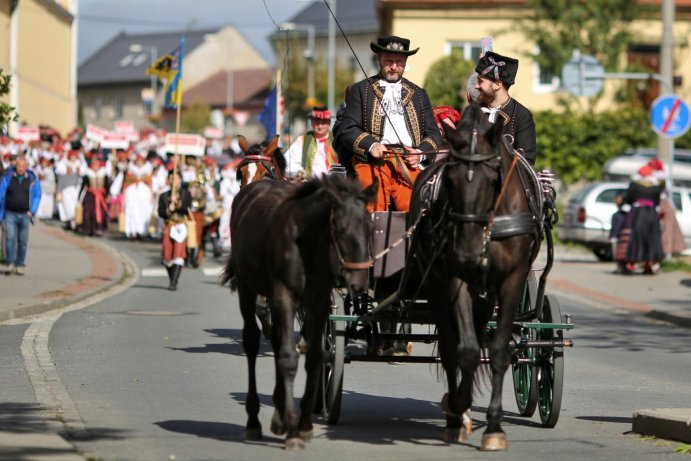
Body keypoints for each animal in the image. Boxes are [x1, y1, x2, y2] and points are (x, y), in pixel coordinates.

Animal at [223, 174, 376, 448]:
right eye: (341, 228)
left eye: (370, 228)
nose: (360, 282)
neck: (307, 242)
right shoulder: (284, 296)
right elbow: (288, 357)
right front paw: (293, 428)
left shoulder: (319, 301)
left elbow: (314, 357)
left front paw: (303, 424)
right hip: (246, 287)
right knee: (252, 342)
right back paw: (254, 420)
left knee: (275, 340)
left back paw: (279, 412)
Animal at [408, 103, 544, 450]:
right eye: (450, 178)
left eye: (493, 176)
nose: (468, 252)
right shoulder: (457, 280)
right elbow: (466, 350)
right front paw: (457, 407)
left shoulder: (511, 281)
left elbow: (497, 351)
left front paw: (494, 427)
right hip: (438, 288)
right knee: (449, 346)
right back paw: (456, 414)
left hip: (487, 296)